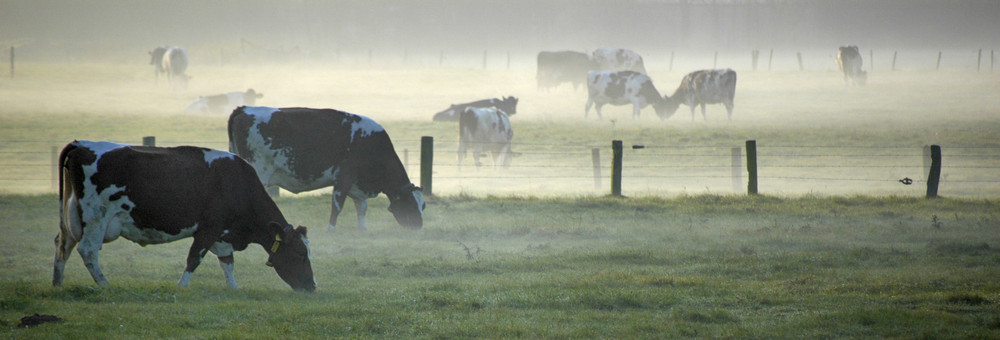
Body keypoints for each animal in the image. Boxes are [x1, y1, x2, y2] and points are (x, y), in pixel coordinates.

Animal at [54, 139, 312, 290]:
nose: (312, 286)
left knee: (62, 245)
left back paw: (57, 283)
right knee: (87, 250)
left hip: (70, 218)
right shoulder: (209, 229)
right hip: (96, 218)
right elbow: (194, 258)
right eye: (300, 253)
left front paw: (234, 288)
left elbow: (227, 263)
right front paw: (181, 287)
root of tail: (81, 144)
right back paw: (105, 285)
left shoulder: (222, 236)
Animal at [229, 107, 424, 232]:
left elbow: (362, 207)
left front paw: (363, 228)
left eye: (423, 205)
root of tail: (243, 109)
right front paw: (330, 228)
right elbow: (337, 205)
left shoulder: (357, 185)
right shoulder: (344, 177)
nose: (419, 225)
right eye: (411, 204)